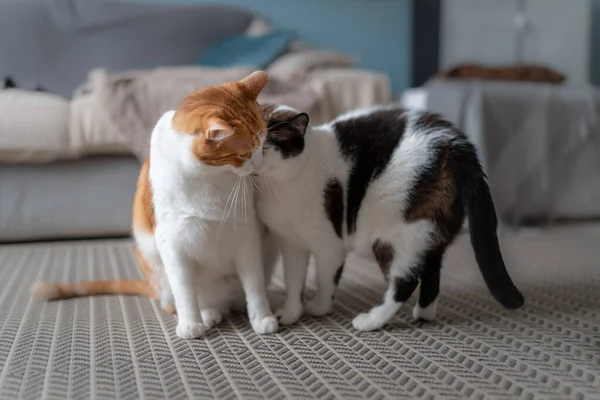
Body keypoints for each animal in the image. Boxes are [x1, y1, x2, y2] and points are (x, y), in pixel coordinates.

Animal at [31, 71, 278, 338]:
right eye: (244, 155)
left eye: (263, 144)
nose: (259, 166)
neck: (210, 178)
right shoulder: (172, 243)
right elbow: (184, 290)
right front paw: (191, 324)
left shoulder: (246, 235)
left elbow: (254, 285)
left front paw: (262, 317)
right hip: (159, 272)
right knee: (180, 302)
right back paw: (207, 313)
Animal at [255, 104, 524, 332]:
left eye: (265, 146)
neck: (279, 191)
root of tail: (461, 148)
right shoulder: (291, 244)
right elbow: (293, 282)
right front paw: (290, 313)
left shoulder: (328, 246)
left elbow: (325, 280)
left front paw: (319, 308)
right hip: (430, 233)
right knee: (431, 272)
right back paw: (424, 314)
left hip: (395, 232)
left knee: (404, 283)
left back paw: (370, 321)